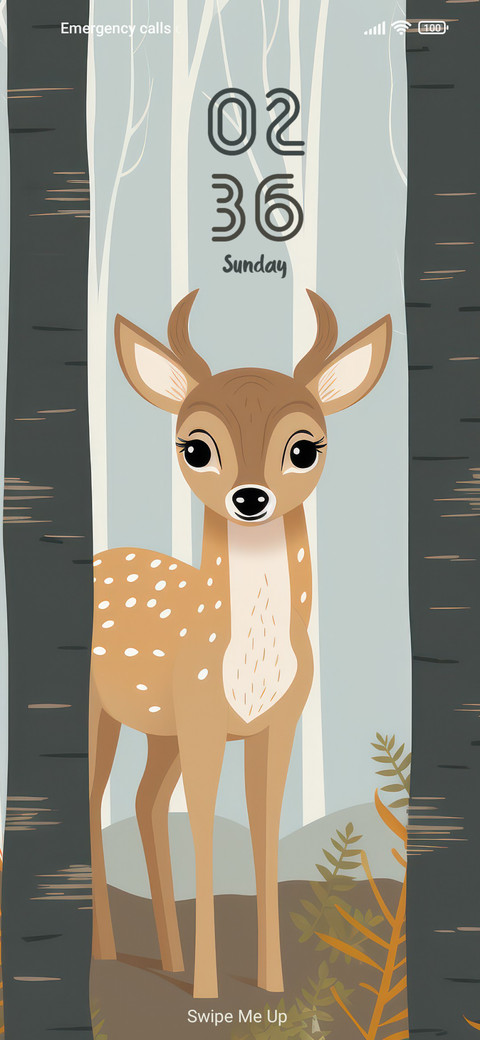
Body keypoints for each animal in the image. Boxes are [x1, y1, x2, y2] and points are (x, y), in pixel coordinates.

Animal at [89, 289, 391, 999]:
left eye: (305, 448)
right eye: (195, 448)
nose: (249, 498)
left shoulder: (277, 722)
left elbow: (264, 827)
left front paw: (272, 983)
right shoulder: (202, 715)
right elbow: (203, 825)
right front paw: (208, 989)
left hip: (161, 729)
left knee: (144, 802)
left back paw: (166, 958)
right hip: (104, 711)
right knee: (93, 803)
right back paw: (111, 955)